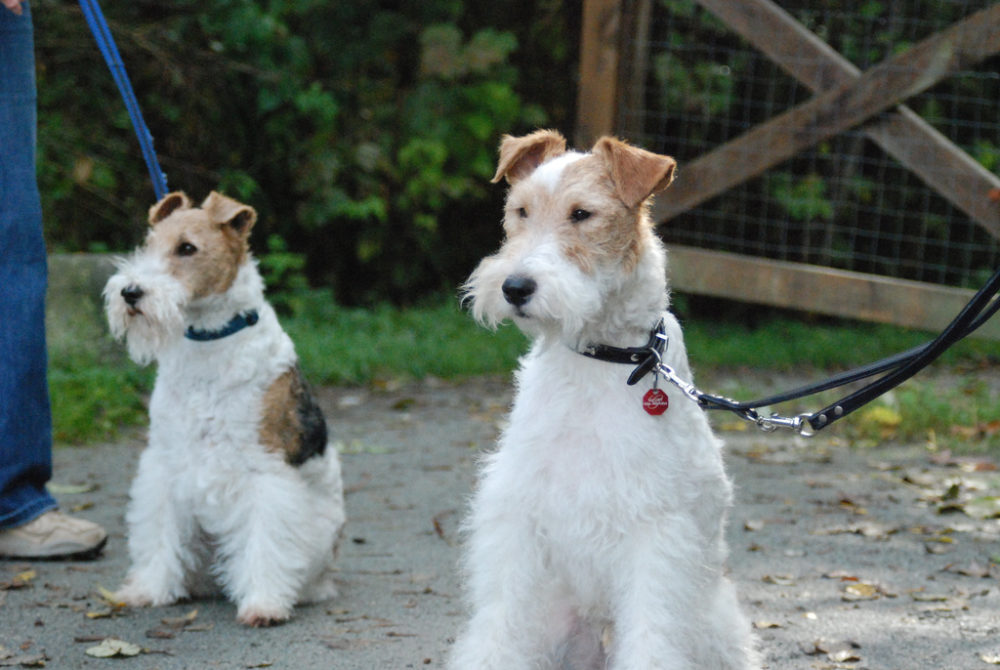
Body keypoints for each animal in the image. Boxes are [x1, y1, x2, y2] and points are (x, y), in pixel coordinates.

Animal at [102, 190, 344, 632]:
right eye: (149, 242)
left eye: (187, 248)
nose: (131, 293)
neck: (208, 341)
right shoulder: (164, 463)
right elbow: (158, 532)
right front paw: (149, 589)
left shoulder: (264, 470)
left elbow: (265, 542)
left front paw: (263, 604)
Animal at [454, 129, 756, 668]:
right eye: (520, 210)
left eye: (582, 214)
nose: (515, 287)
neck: (599, 359)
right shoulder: (520, 514)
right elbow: (500, 623)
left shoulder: (655, 528)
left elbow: (653, 637)